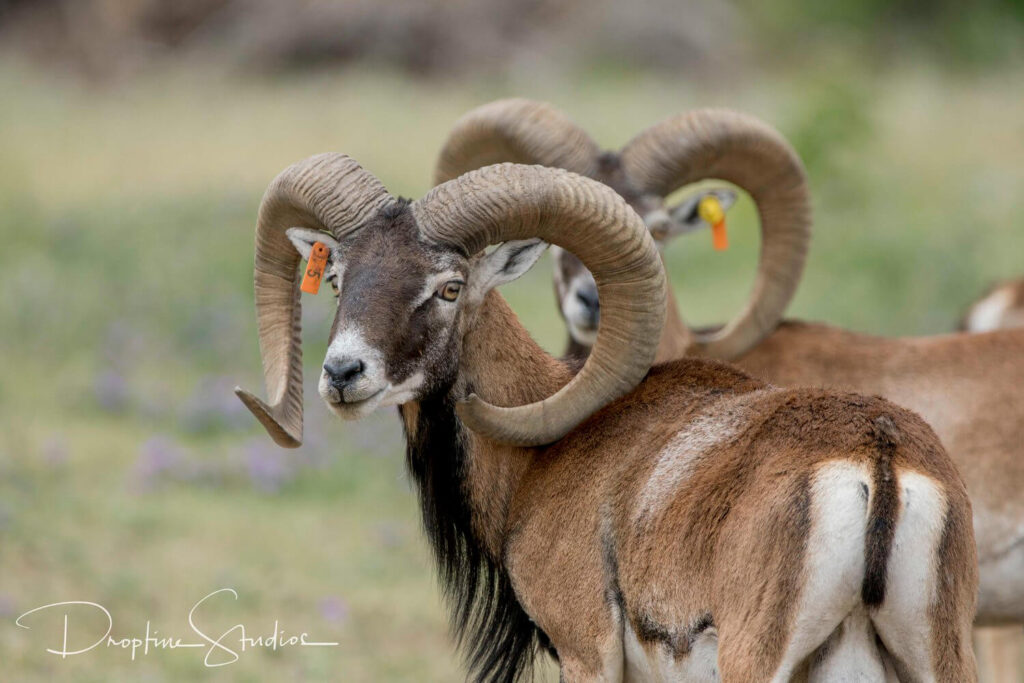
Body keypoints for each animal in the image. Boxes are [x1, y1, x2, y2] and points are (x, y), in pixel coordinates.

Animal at [235, 153, 977, 681]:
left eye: (448, 287)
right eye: (338, 278)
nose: (343, 373)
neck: (540, 458)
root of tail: (878, 464)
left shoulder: (586, 653)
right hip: (940, 661)